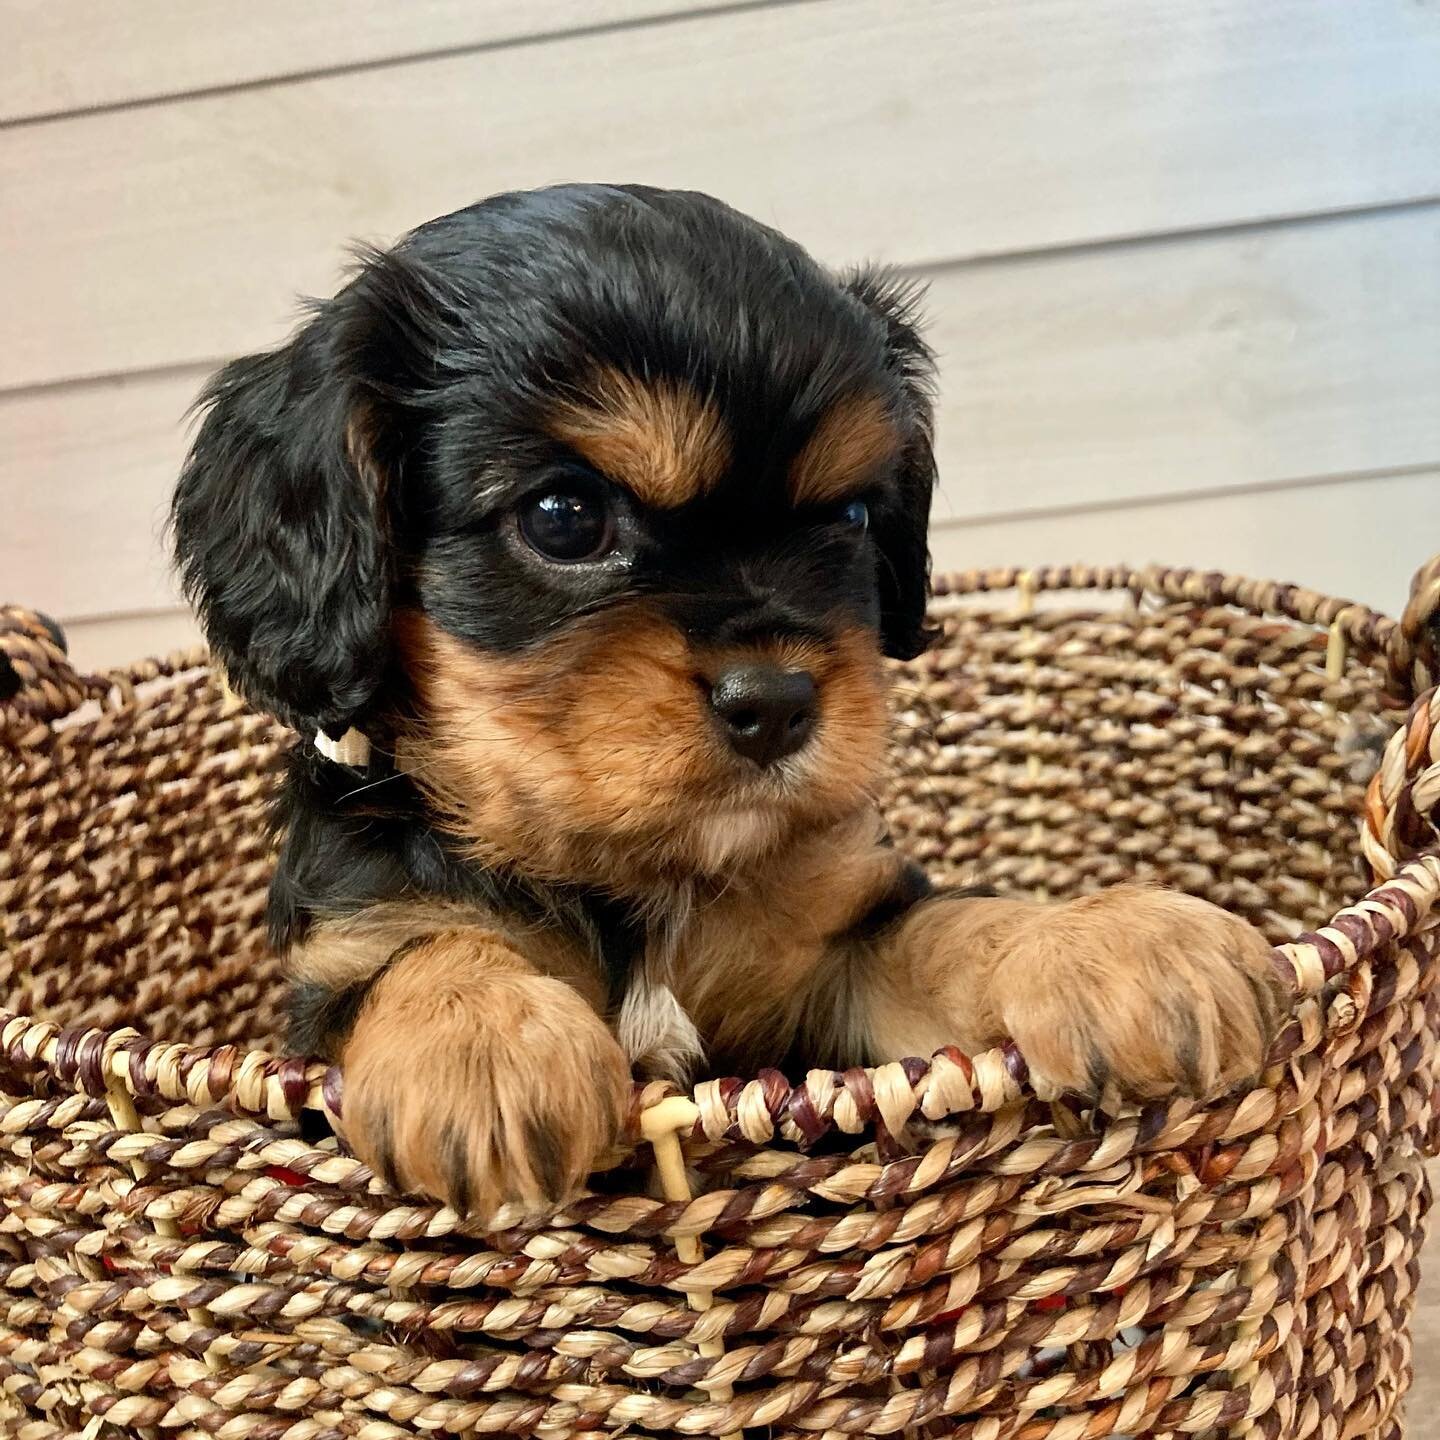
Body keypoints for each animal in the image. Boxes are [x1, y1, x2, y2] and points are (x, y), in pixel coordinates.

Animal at [171, 182, 1284, 1215]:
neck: (643, 878)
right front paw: (483, 1048)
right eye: (564, 517)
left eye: (850, 518)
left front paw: (1109, 938)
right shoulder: (342, 960)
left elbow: (949, 926)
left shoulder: (833, 976)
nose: (778, 702)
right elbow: (419, 949)